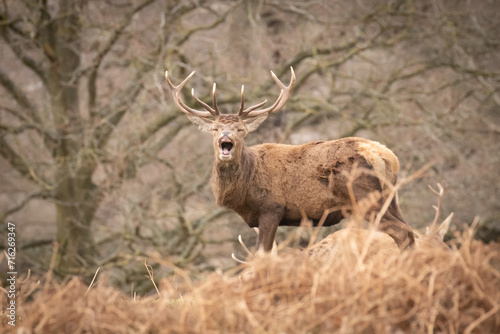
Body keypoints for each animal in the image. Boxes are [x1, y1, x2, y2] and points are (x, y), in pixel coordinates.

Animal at [164, 67, 414, 250]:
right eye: (215, 129)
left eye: (240, 129)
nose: (226, 138)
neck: (244, 189)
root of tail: (388, 157)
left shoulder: (271, 208)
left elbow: (261, 254)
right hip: (390, 197)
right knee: (410, 230)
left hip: (364, 196)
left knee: (402, 232)